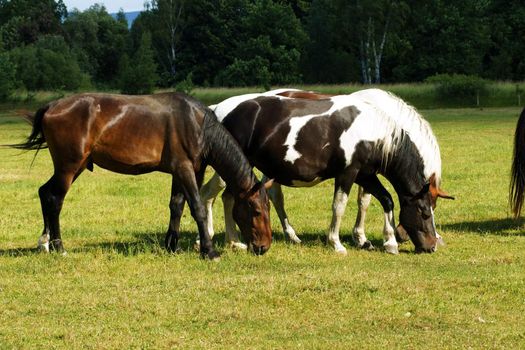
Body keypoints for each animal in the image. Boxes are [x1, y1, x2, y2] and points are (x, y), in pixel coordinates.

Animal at [14, 91, 272, 258]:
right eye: (257, 211)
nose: (264, 247)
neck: (197, 122)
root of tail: (51, 107)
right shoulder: (184, 169)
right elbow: (197, 207)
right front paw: (209, 251)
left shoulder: (186, 171)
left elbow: (177, 206)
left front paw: (172, 245)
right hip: (68, 167)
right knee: (55, 199)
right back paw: (59, 247)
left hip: (74, 167)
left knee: (44, 193)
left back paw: (44, 243)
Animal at [199, 89, 452, 254]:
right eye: (425, 213)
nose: (432, 246)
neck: (373, 130)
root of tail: (217, 109)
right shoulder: (348, 173)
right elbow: (339, 206)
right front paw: (337, 243)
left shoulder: (366, 175)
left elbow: (386, 200)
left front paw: (388, 242)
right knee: (218, 195)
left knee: (228, 197)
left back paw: (235, 241)